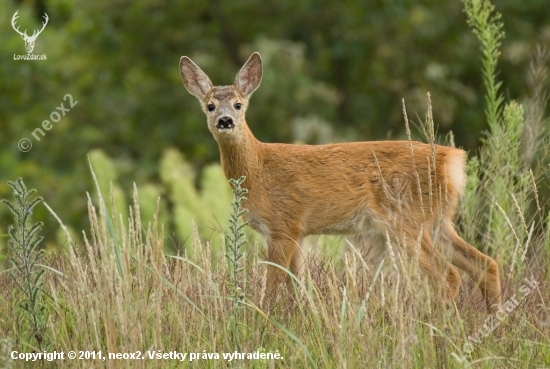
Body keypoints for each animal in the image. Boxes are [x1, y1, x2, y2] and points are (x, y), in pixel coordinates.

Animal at [181, 52, 504, 308]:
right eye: (210, 106)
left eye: (238, 104)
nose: (225, 121)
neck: (258, 169)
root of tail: (453, 162)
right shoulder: (298, 232)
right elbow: (297, 286)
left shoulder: (284, 225)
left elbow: (273, 288)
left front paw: (264, 321)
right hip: (436, 221)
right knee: (485, 264)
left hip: (407, 220)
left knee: (449, 276)